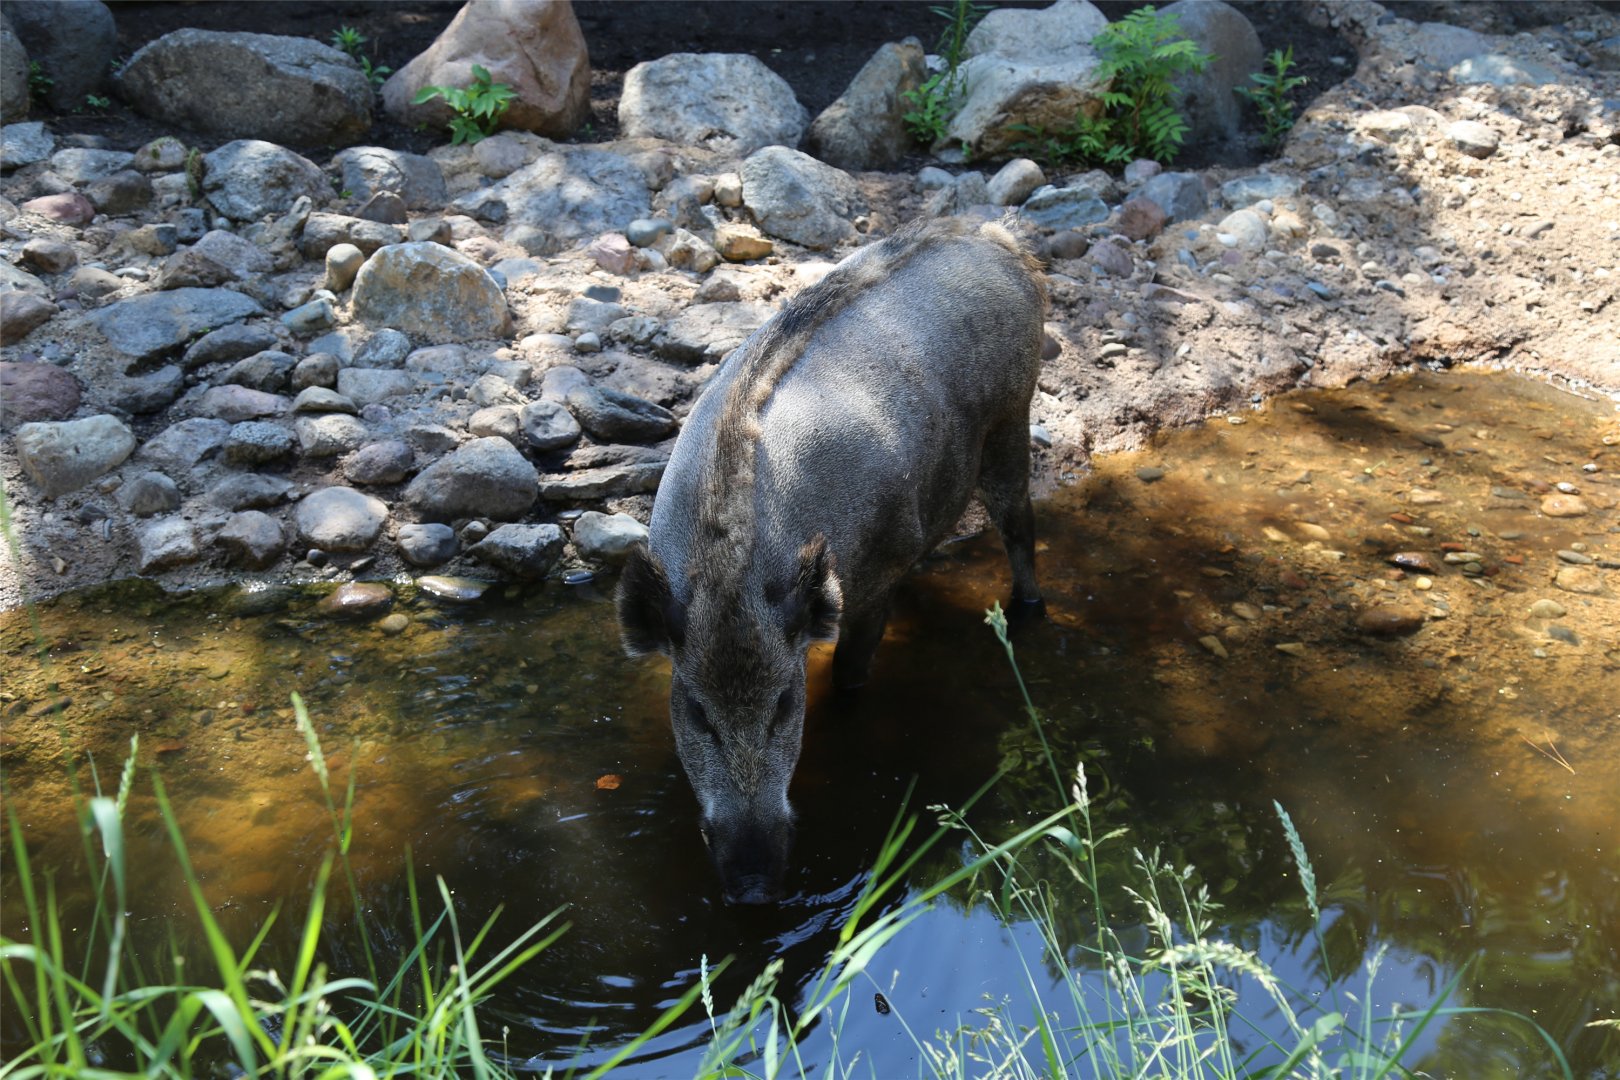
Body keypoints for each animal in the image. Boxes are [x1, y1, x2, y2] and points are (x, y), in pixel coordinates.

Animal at [617, 217, 1046, 903]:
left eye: (785, 704)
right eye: (697, 712)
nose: (752, 885)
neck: (730, 573)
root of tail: (994, 237)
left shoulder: (871, 580)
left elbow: (849, 672)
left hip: (1013, 416)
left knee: (1019, 530)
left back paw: (1029, 610)